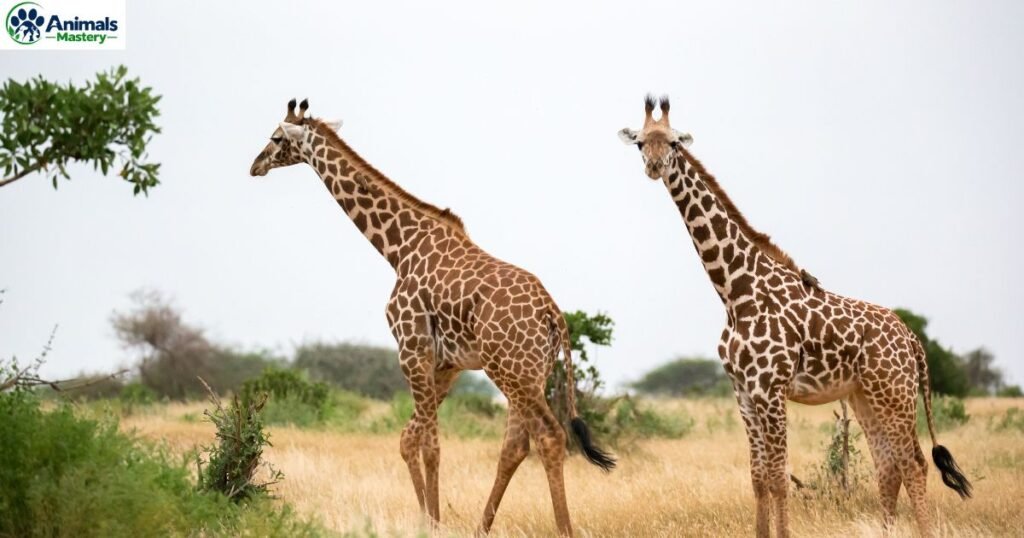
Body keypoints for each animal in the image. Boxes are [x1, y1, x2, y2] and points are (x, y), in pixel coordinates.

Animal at [249, 99, 614, 536]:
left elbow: (430, 444)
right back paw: (481, 527)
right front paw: (429, 519)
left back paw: (562, 528)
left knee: (549, 437)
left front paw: (432, 523)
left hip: (511, 371)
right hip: (530, 372)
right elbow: (410, 437)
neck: (398, 248)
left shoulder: (412, 348)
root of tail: (553, 314)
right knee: (515, 445)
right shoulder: (446, 364)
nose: (254, 165)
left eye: (275, 138)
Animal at [618, 96, 971, 537]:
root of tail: (912, 339)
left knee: (914, 464)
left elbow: (778, 477)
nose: (654, 166)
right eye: (640, 142)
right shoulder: (743, 392)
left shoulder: (771, 388)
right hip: (864, 396)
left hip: (894, 393)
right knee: (888, 466)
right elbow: (757, 477)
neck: (734, 292)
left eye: (675, 143)